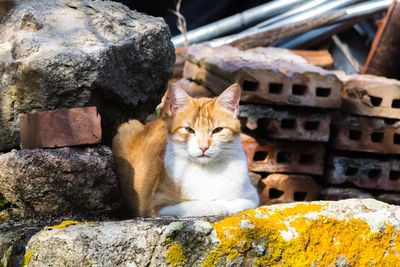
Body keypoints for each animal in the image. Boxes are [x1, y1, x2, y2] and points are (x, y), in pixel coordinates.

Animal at [111, 84, 260, 218]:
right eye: (189, 130)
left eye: (217, 130)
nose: (203, 147)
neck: (207, 170)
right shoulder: (157, 204)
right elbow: (197, 204)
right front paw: (217, 205)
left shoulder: (252, 196)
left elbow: (240, 202)